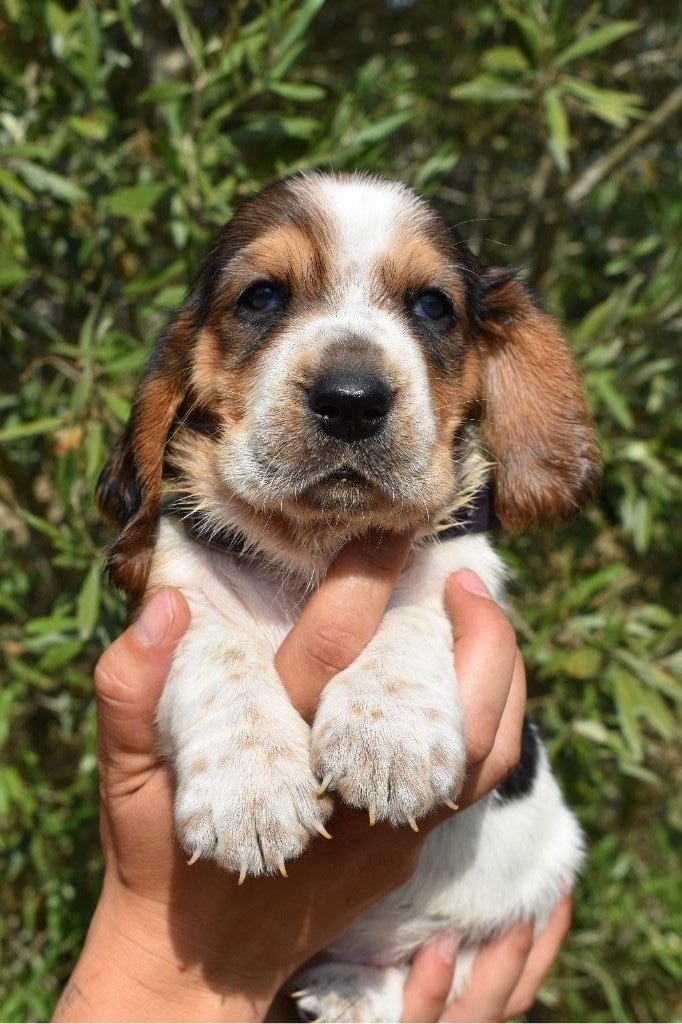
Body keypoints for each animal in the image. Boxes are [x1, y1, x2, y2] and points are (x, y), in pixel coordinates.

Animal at [97, 171, 599, 1021]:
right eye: (262, 296)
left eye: (432, 306)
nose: (353, 399)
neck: (318, 543)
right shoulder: (174, 601)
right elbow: (218, 649)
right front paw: (249, 791)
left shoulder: (461, 571)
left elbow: (414, 611)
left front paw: (388, 737)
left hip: (538, 879)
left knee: (438, 964)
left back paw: (348, 993)